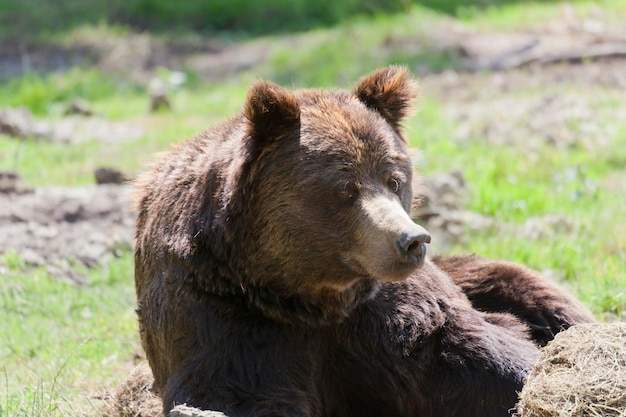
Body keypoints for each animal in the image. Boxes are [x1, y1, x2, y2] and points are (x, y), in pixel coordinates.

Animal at [134, 66, 592, 416]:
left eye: (394, 179)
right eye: (345, 188)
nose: (412, 240)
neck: (307, 295)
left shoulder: (388, 316)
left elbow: (479, 355)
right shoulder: (223, 309)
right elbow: (238, 391)